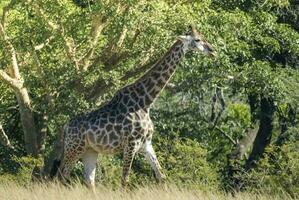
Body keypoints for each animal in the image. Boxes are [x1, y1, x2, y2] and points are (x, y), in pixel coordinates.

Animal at [51, 24, 216, 189]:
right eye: (197, 39)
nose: (213, 51)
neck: (146, 102)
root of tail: (66, 127)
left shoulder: (146, 144)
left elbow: (161, 176)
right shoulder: (131, 144)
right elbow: (125, 180)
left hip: (89, 150)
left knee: (89, 180)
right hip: (74, 148)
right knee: (61, 176)